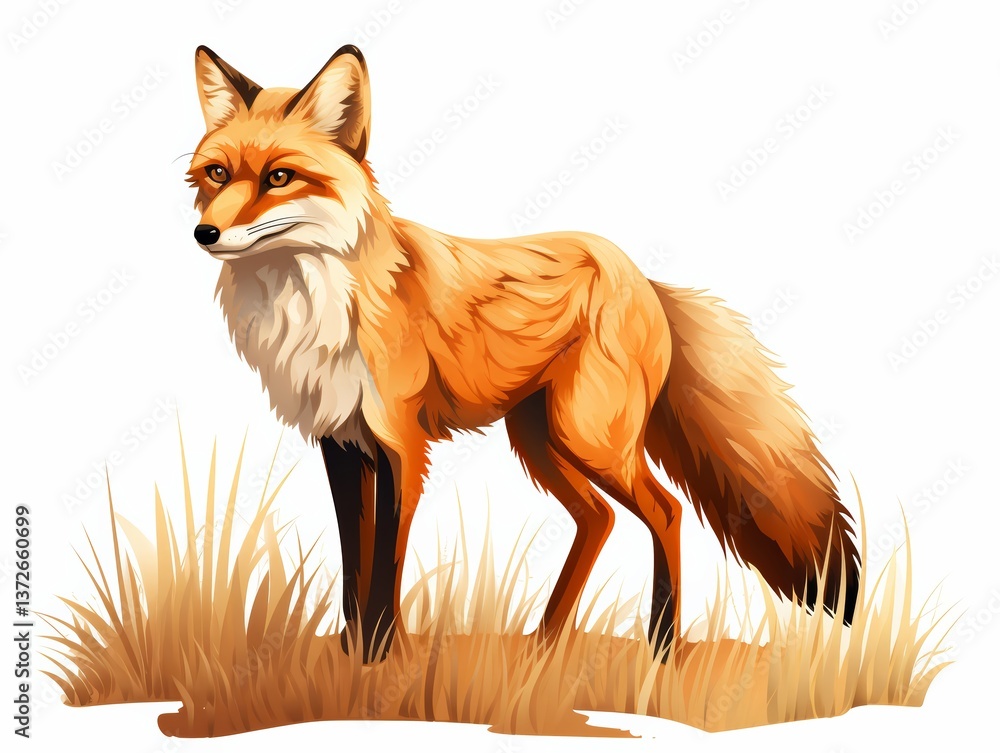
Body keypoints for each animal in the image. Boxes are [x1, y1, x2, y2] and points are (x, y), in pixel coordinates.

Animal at [187, 44, 860, 663]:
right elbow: (354, 561)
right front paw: (351, 658)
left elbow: (384, 568)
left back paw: (660, 647)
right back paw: (545, 643)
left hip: (587, 436)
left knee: (665, 512)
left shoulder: (401, 444)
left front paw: (379, 659)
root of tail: (643, 277)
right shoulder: (343, 442)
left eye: (279, 177)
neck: (317, 307)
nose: (205, 234)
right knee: (599, 518)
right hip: (539, 438)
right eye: (216, 175)